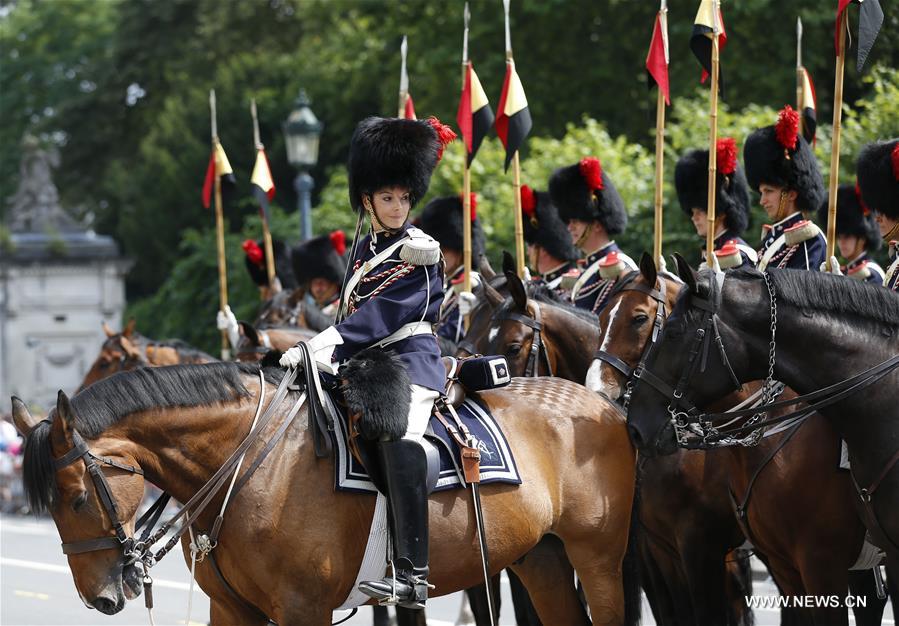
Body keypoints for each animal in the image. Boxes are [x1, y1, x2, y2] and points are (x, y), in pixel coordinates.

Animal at [10, 358, 636, 620]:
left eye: (78, 498)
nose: (101, 598)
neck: (251, 463)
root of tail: (598, 400)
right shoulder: (232, 611)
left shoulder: (303, 610)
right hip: (541, 559)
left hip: (599, 561)